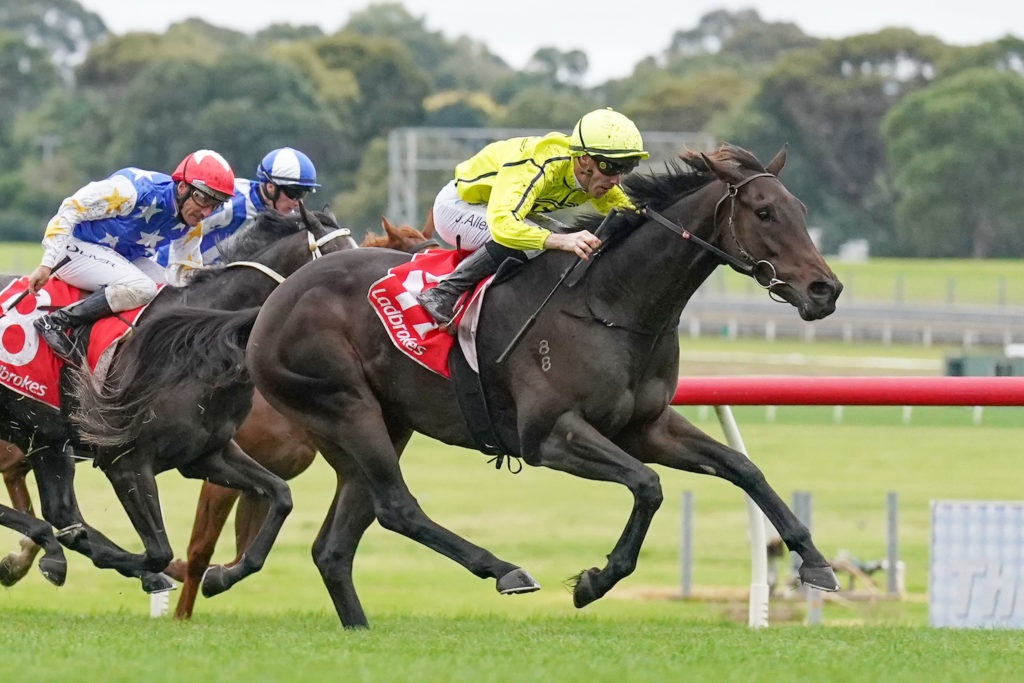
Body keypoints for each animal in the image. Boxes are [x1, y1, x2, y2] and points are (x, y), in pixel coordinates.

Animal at [0, 206, 355, 595]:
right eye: (338, 262)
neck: (202, 342)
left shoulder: (206, 454)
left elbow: (281, 495)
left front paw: (220, 576)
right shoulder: (124, 461)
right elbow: (158, 552)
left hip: (43, 436)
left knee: (61, 510)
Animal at [240, 144, 844, 628]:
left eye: (801, 210)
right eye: (764, 212)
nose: (826, 290)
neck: (610, 303)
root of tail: (275, 300)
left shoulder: (646, 427)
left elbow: (744, 468)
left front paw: (815, 562)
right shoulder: (549, 436)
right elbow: (647, 485)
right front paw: (595, 581)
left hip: (381, 426)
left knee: (335, 546)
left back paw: (359, 627)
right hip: (347, 407)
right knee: (397, 507)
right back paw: (504, 570)